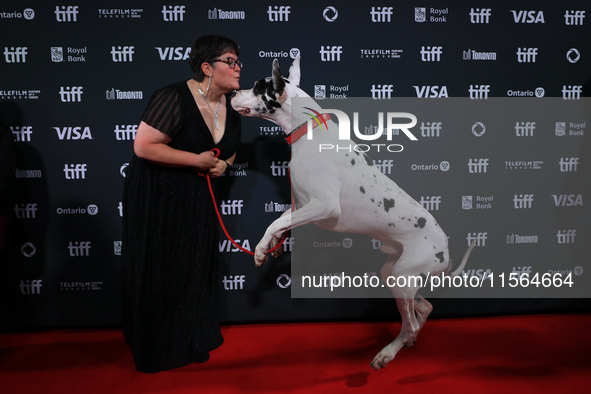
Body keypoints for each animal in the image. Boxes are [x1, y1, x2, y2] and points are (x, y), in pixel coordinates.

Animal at [231, 57, 476, 370]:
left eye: (257, 87)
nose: (232, 92)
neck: (308, 129)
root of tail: (446, 251)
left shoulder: (323, 206)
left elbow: (275, 221)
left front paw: (262, 249)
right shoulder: (301, 204)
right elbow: (281, 221)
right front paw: (273, 246)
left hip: (403, 277)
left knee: (409, 322)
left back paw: (389, 351)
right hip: (393, 273)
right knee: (423, 307)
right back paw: (411, 336)